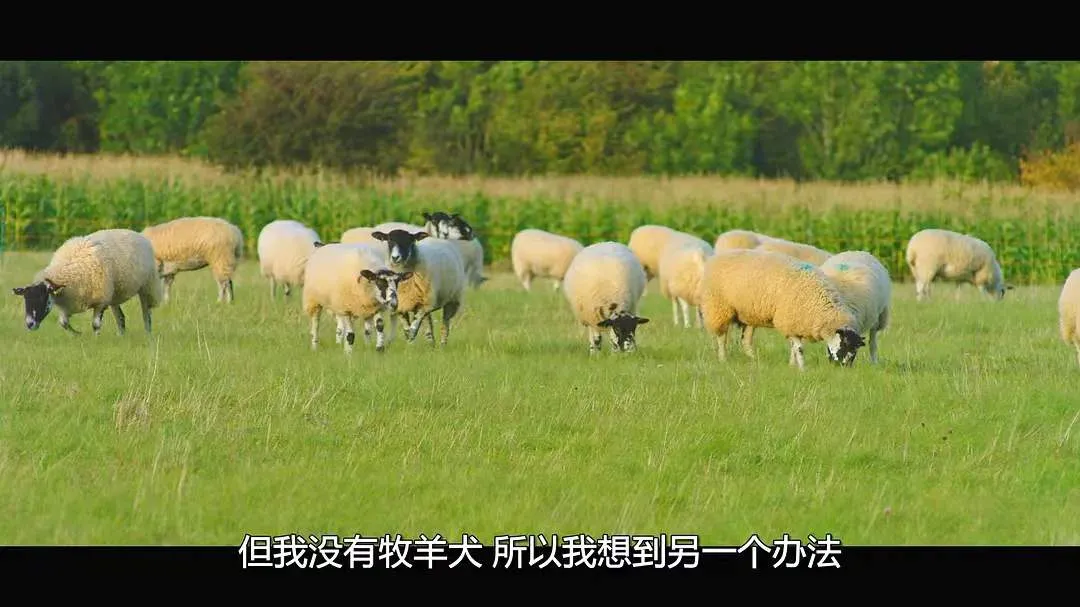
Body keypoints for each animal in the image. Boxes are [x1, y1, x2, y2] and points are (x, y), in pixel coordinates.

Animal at [11, 228, 162, 336]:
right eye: (26, 299)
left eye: (43, 298)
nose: (30, 324)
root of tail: (137, 234)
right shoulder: (68, 304)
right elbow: (63, 323)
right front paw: (77, 335)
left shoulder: (101, 301)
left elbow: (95, 325)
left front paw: (96, 339)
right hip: (114, 294)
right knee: (120, 317)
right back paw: (121, 336)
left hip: (147, 286)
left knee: (146, 314)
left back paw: (148, 334)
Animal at [699, 248, 866, 370]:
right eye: (844, 345)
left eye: (855, 352)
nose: (844, 369)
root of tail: (717, 256)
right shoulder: (789, 321)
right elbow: (799, 348)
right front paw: (802, 368)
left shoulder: (795, 324)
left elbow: (794, 347)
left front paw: (792, 365)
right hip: (719, 308)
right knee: (722, 337)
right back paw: (723, 359)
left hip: (748, 314)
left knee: (745, 341)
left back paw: (755, 360)